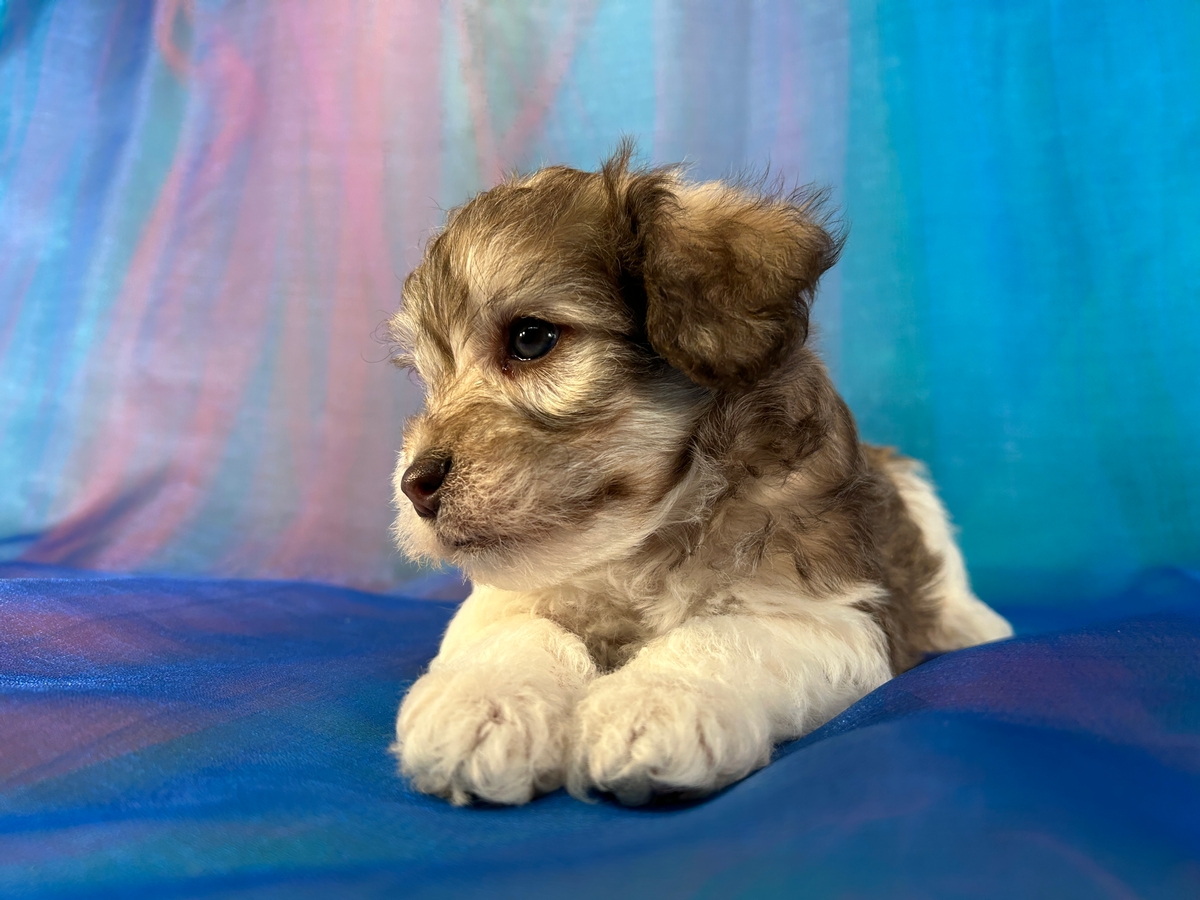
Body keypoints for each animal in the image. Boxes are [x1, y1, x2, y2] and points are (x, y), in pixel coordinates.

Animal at [387, 146, 1013, 806]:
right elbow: (518, 631)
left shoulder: (832, 617)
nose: (414, 484)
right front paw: (485, 701)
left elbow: (723, 636)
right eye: (428, 375)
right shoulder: (505, 597)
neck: (639, 544)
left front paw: (654, 703)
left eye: (532, 338)